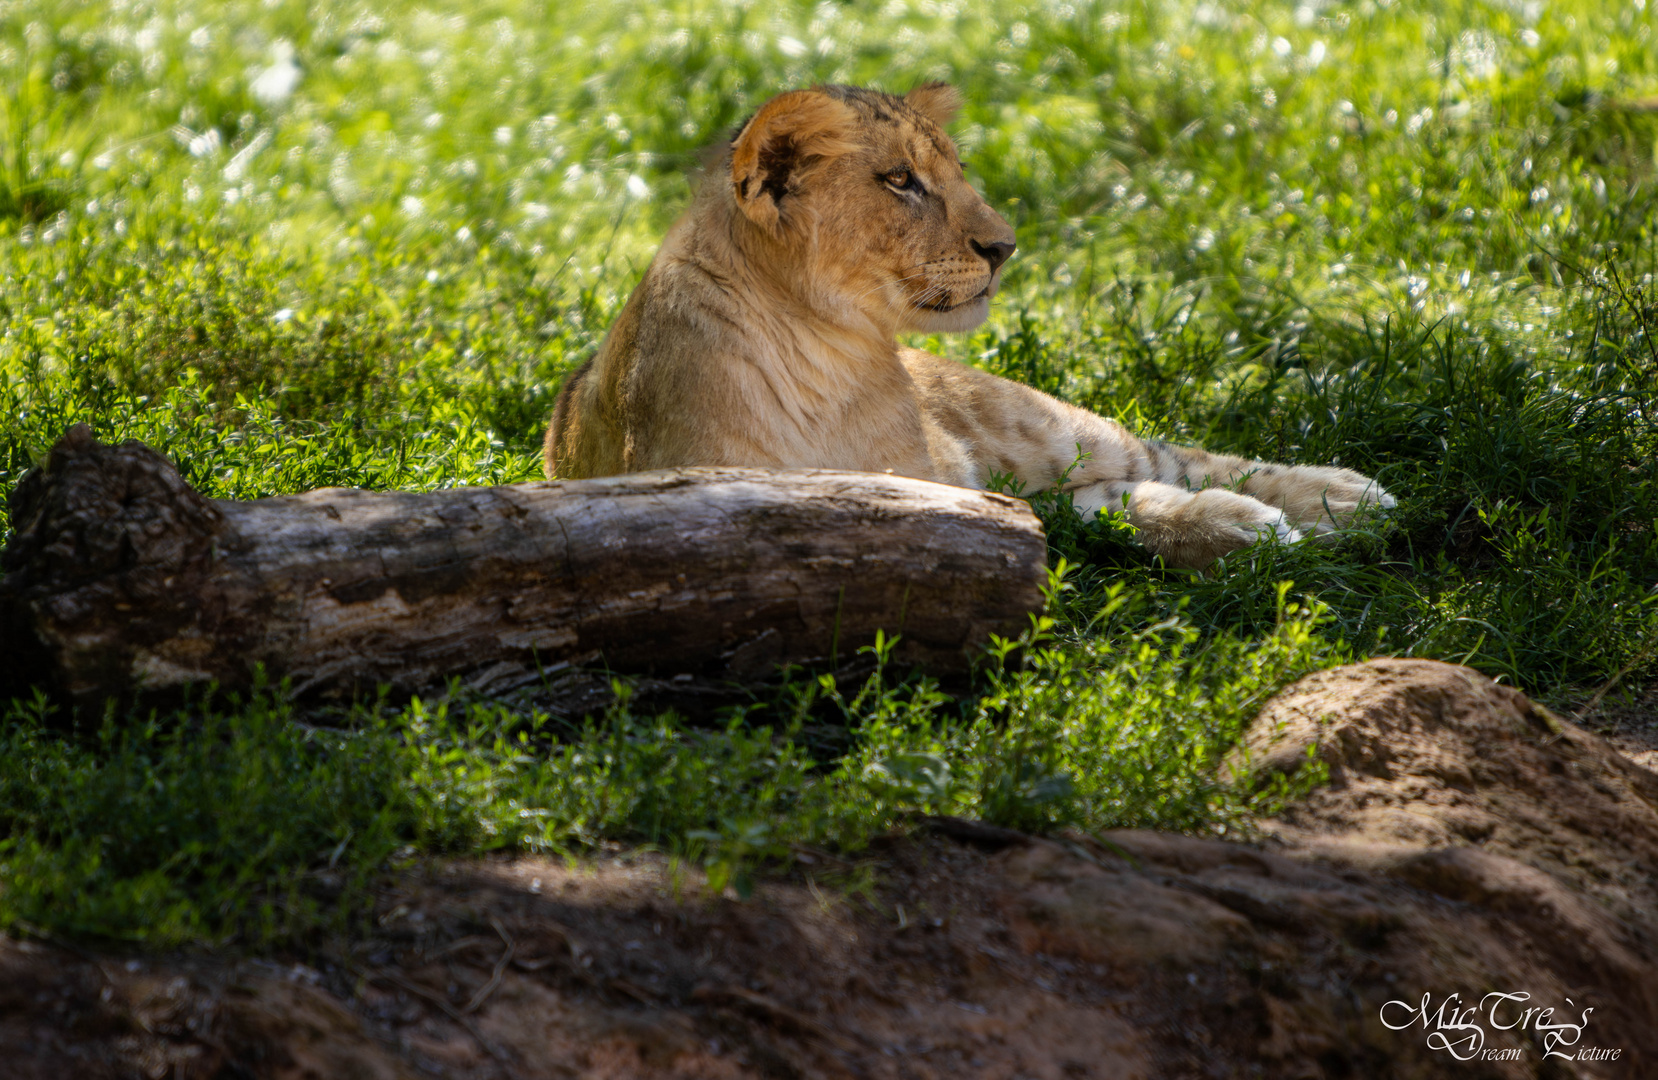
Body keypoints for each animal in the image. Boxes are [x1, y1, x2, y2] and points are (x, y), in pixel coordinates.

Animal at [543, 86, 1386, 567]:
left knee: (1167, 457)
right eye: (900, 181)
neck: (828, 355)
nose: (1005, 246)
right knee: (1111, 494)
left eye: (952, 172)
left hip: (1033, 423)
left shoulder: (943, 485)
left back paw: (1340, 497)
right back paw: (1260, 528)